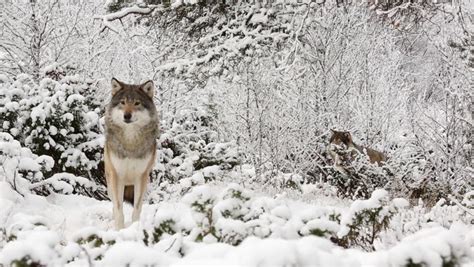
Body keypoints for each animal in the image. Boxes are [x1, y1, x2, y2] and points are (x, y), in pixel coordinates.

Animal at [104, 77, 159, 230]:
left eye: (136, 103)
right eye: (122, 102)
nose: (127, 115)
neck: (130, 142)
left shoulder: (141, 176)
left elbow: (137, 208)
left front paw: (135, 227)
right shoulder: (117, 176)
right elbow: (118, 208)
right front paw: (119, 230)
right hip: (110, 183)